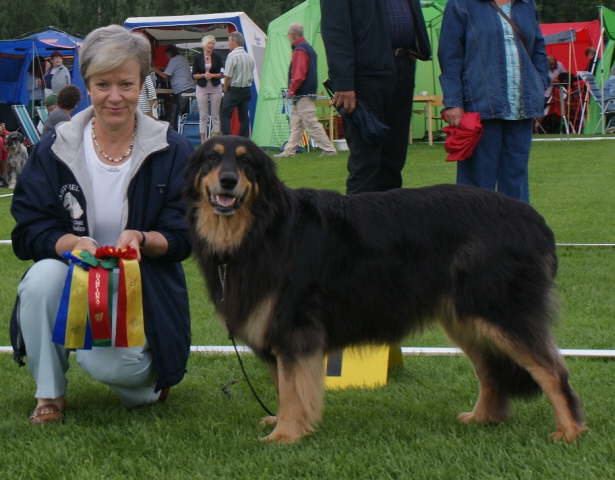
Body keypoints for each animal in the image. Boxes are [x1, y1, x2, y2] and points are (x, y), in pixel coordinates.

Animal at [184, 135, 588, 442]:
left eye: (246, 162)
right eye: (211, 159)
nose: (228, 181)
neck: (259, 230)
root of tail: (535, 221)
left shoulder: (295, 329)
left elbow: (294, 387)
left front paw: (286, 433)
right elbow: (284, 387)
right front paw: (284, 422)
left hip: (501, 312)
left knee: (552, 370)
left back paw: (570, 431)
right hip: (467, 319)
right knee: (490, 371)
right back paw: (483, 417)